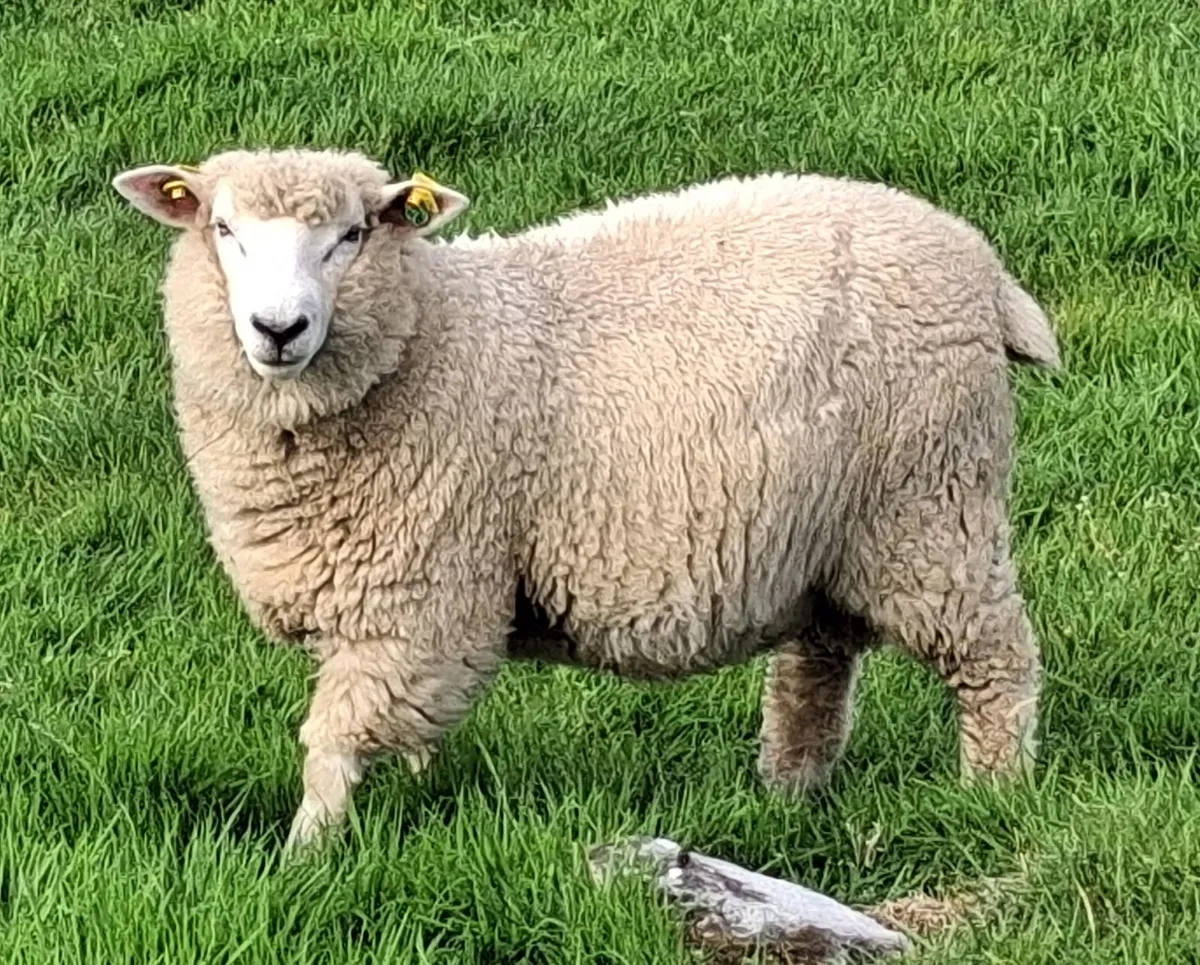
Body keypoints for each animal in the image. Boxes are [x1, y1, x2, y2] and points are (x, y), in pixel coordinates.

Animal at [112, 147, 1060, 849]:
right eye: (223, 230)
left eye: (350, 236)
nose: (279, 329)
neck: (426, 337)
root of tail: (982, 266)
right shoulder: (420, 611)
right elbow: (412, 725)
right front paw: (416, 797)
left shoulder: (422, 591)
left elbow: (334, 746)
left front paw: (306, 857)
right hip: (830, 531)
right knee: (816, 672)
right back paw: (788, 795)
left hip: (931, 505)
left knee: (996, 658)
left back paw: (994, 792)